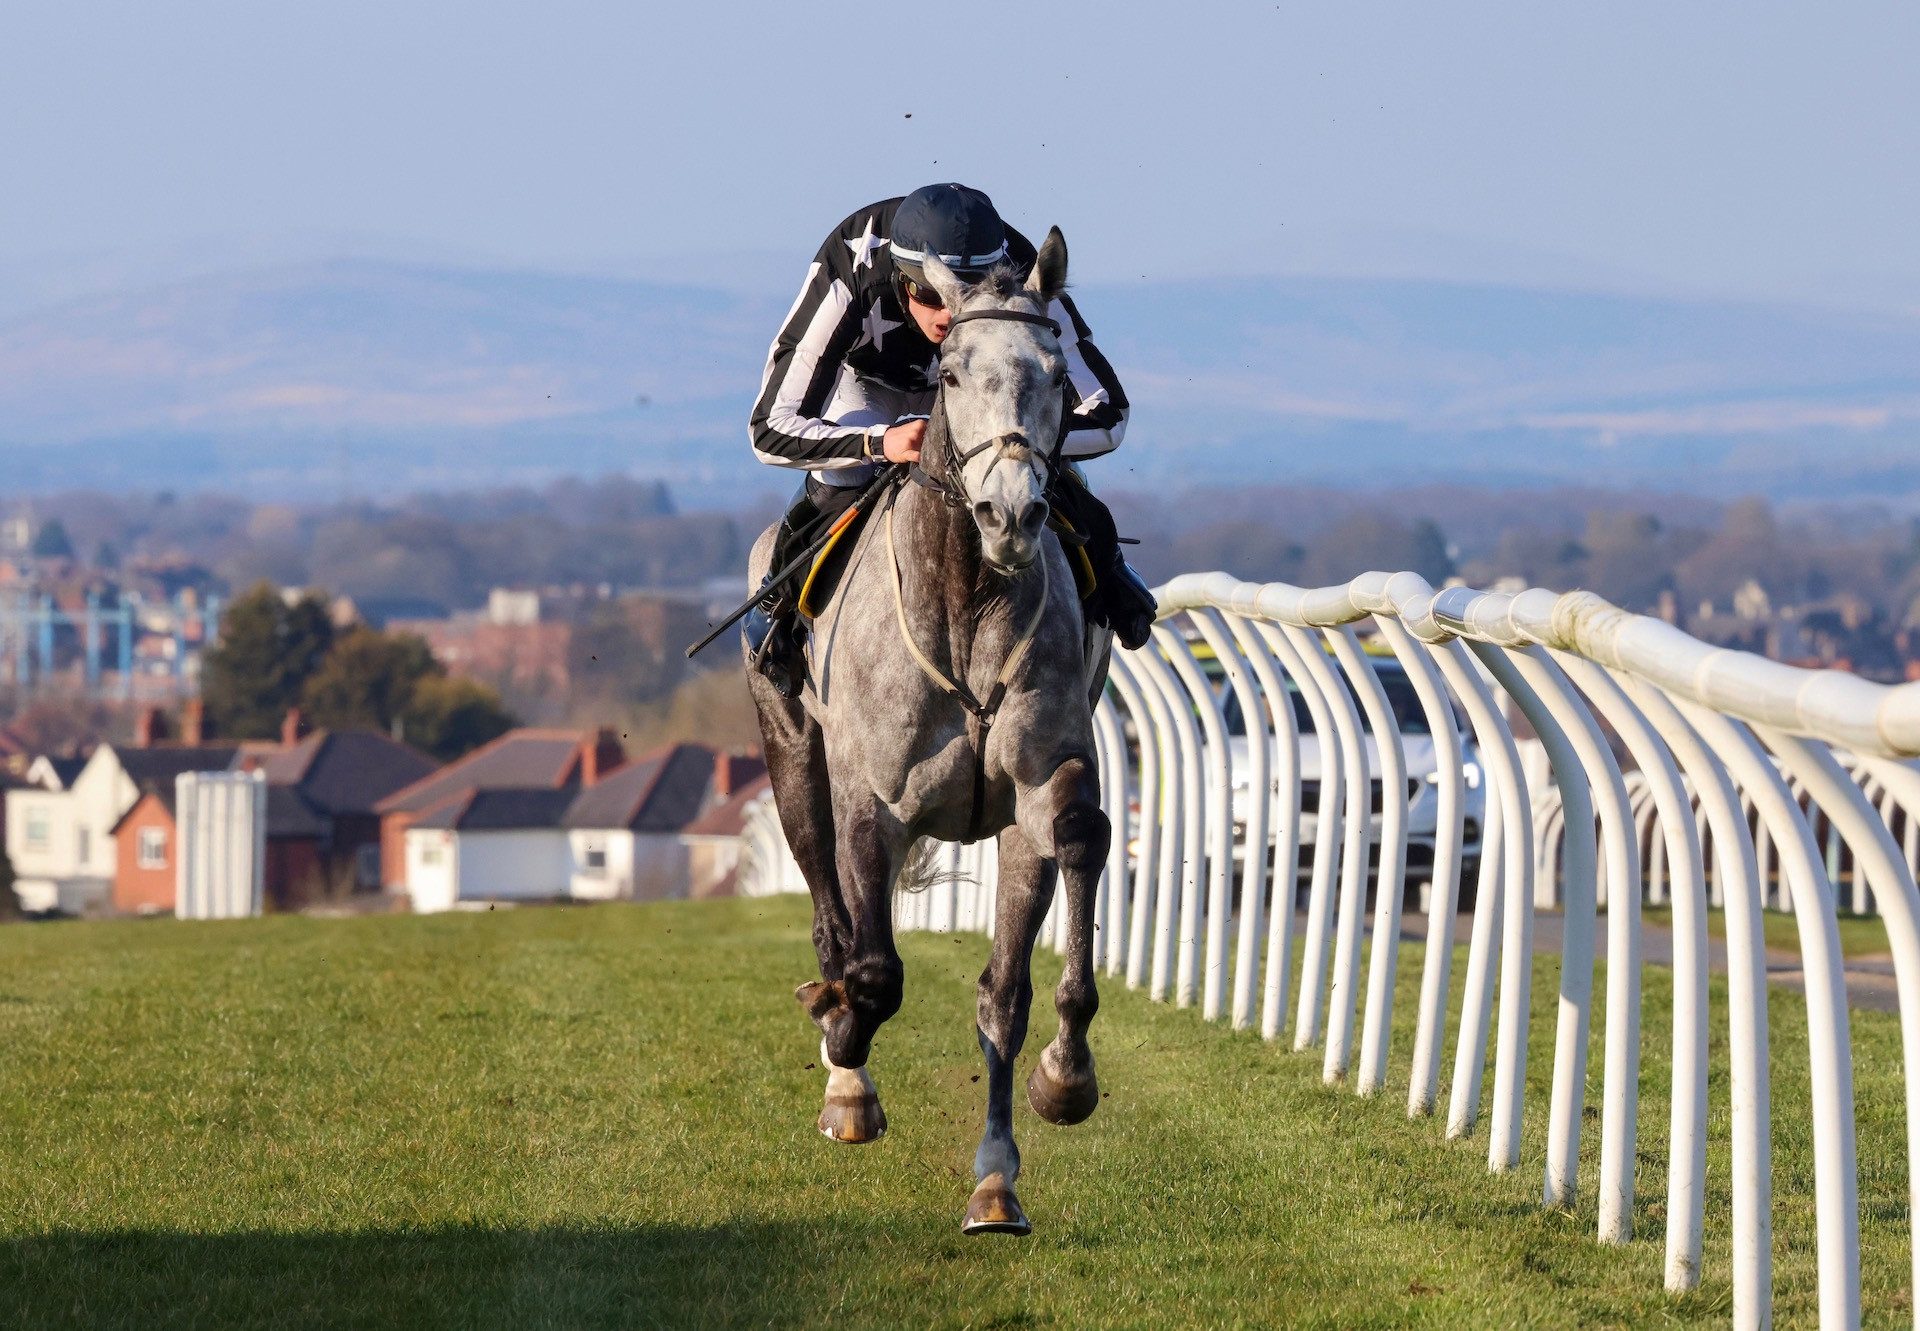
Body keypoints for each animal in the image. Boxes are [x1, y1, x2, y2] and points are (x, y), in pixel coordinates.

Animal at [744, 228, 1113, 1236]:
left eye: (1057, 374)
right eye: (949, 373)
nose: (1012, 513)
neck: (967, 595)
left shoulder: (1040, 787)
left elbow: (1020, 971)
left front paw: (1056, 1093)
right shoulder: (874, 802)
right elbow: (873, 971)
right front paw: (843, 1054)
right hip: (794, 758)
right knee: (831, 919)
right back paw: (844, 1067)